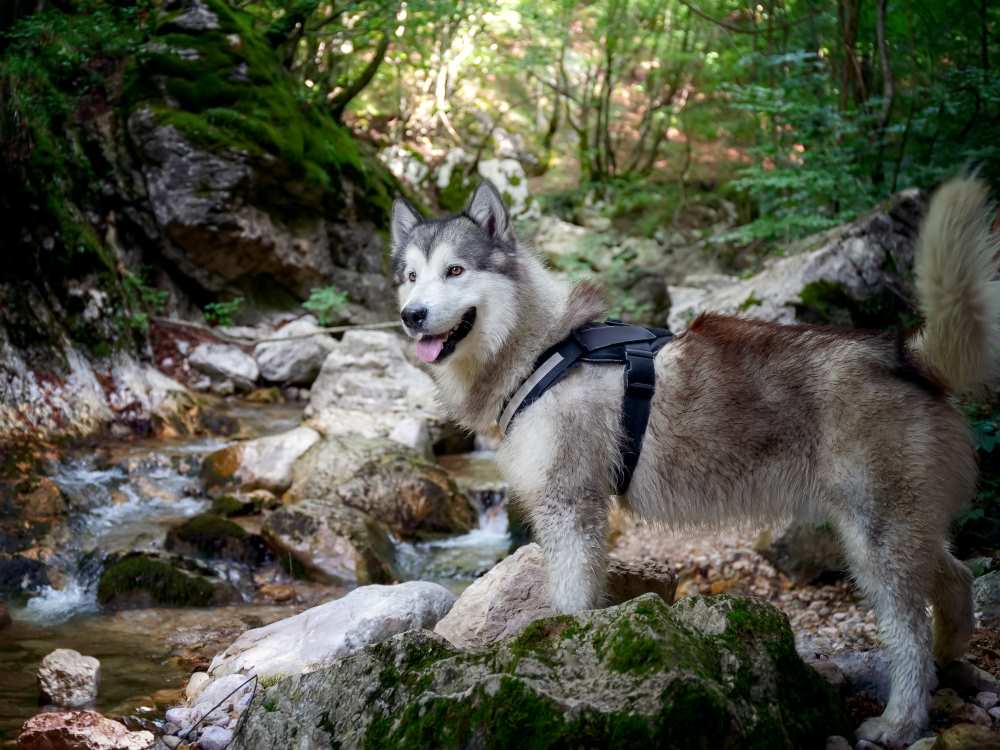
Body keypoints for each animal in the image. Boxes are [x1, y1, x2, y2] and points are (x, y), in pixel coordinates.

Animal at [388, 178, 992, 748]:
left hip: (874, 538)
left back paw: (902, 718)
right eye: (412, 276)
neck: (540, 351)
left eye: (455, 270)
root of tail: (898, 352)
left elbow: (572, 600)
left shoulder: (571, 508)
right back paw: (950, 656)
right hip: (897, 528)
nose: (412, 316)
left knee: (909, 629)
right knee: (956, 575)